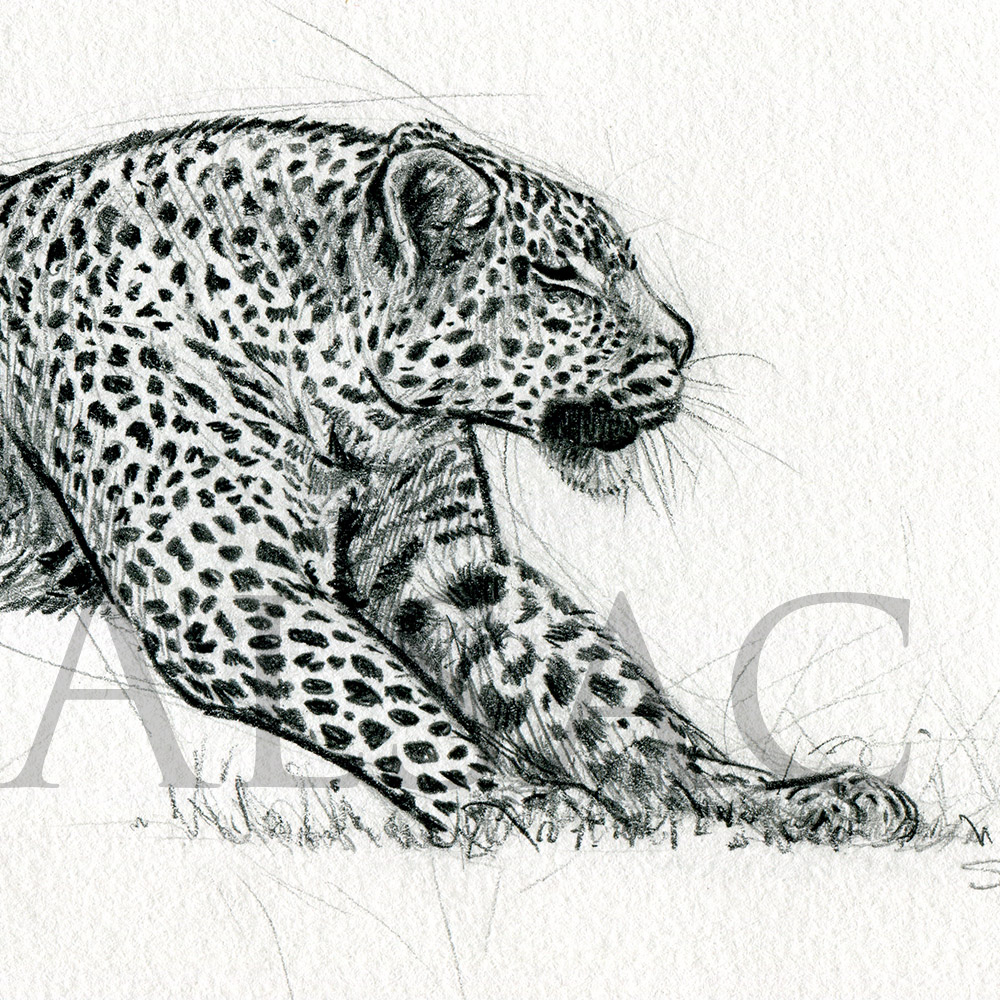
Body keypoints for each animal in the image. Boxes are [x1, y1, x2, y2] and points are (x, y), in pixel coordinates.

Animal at [0, 115, 918, 845]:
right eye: (559, 276)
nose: (683, 342)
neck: (344, 404)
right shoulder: (220, 586)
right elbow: (376, 693)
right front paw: (510, 804)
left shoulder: (443, 566)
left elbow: (601, 695)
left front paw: (765, 797)